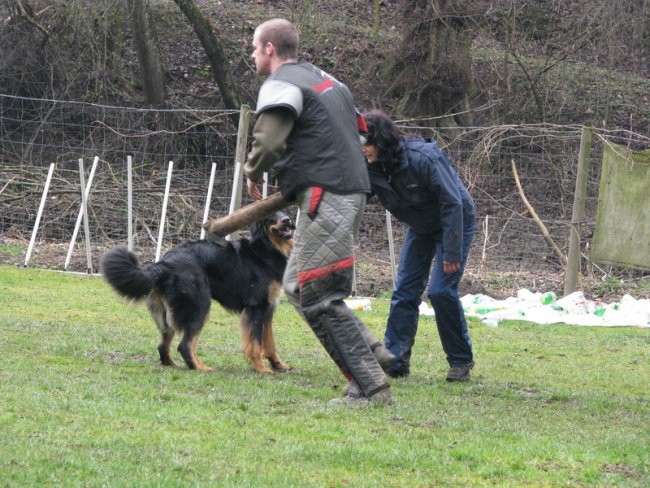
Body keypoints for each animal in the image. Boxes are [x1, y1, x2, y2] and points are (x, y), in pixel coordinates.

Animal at [100, 211, 294, 374]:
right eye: (271, 217)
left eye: (284, 213)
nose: (287, 220)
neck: (266, 249)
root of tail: (165, 263)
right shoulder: (256, 308)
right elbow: (255, 344)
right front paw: (262, 369)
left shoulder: (268, 309)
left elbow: (270, 343)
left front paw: (278, 365)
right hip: (200, 306)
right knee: (185, 345)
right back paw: (200, 367)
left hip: (168, 316)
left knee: (163, 345)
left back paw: (172, 365)